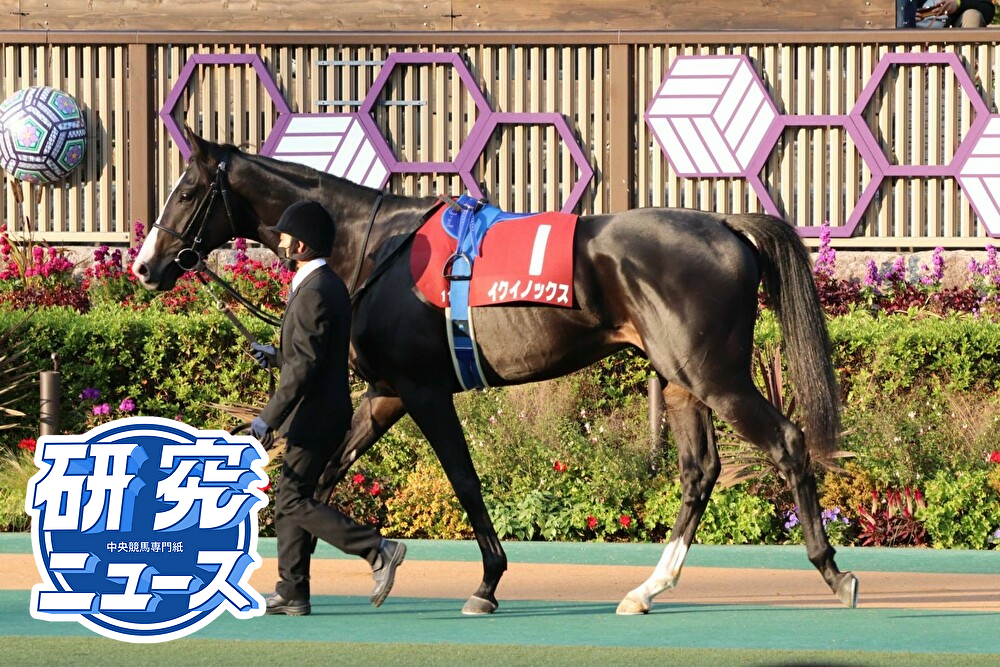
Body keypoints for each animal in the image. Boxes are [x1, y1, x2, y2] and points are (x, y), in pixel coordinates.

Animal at [133, 127, 858, 616]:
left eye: (188, 189)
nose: (144, 265)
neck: (375, 247)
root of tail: (727, 226)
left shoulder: (424, 390)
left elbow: (463, 479)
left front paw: (485, 582)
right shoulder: (385, 392)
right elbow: (327, 469)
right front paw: (299, 572)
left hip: (716, 375)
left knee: (786, 442)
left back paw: (833, 571)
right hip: (681, 380)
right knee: (699, 471)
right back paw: (649, 587)